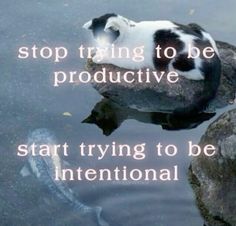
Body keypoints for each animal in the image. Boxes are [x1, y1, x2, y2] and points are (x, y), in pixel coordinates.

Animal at [83, 13, 221, 116]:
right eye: (96, 37)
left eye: (105, 37)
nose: (100, 44)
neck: (128, 30)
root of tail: (213, 55)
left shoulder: (130, 61)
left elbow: (109, 56)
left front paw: (98, 56)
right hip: (195, 25)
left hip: (178, 61)